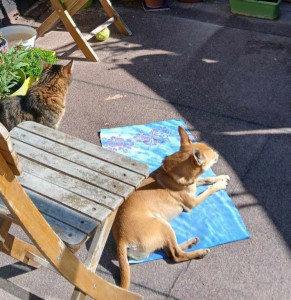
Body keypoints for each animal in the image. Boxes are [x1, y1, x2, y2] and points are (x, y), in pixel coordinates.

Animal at [113, 125, 229, 290]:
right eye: (213, 156)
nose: (218, 153)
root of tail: (121, 239)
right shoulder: (192, 202)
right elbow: (209, 189)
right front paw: (220, 184)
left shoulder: (194, 185)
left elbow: (206, 179)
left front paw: (221, 177)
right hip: (164, 226)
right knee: (176, 255)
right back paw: (199, 252)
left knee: (170, 250)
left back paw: (190, 243)